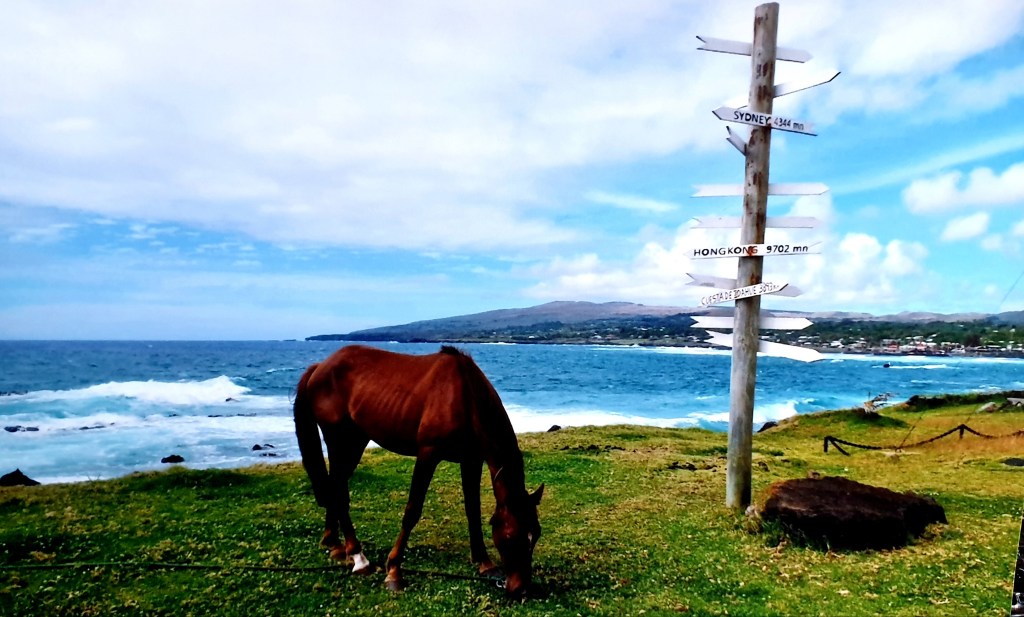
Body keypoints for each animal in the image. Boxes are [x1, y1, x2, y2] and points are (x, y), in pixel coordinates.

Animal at [293, 344, 543, 598]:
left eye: (536, 533)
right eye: (512, 535)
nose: (521, 588)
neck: (465, 395)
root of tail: (320, 366)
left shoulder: (471, 460)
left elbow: (473, 510)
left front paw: (485, 563)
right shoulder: (428, 454)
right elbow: (413, 510)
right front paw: (394, 571)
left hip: (356, 441)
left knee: (335, 485)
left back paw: (334, 543)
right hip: (339, 440)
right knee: (338, 491)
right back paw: (358, 557)